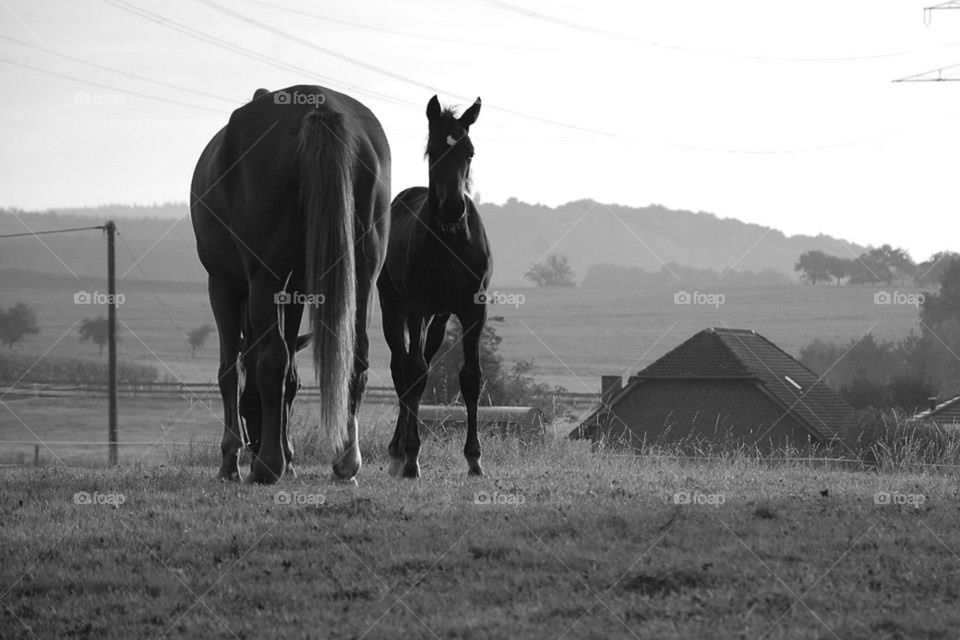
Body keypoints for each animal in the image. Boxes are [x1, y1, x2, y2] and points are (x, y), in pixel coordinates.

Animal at [191, 85, 390, 484]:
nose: (254, 442)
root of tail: (319, 106)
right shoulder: (295, 288)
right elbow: (291, 377)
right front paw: (288, 456)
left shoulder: (222, 285)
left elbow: (230, 371)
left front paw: (230, 460)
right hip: (365, 271)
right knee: (354, 357)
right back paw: (344, 461)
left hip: (264, 275)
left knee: (270, 359)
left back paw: (267, 466)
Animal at [377, 95, 491, 479]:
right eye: (434, 150)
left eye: (469, 152)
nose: (453, 208)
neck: (451, 241)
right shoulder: (416, 307)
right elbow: (413, 373)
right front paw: (412, 456)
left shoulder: (474, 309)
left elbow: (470, 377)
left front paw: (474, 458)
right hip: (394, 306)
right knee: (403, 368)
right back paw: (398, 453)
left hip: (439, 319)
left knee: (419, 363)